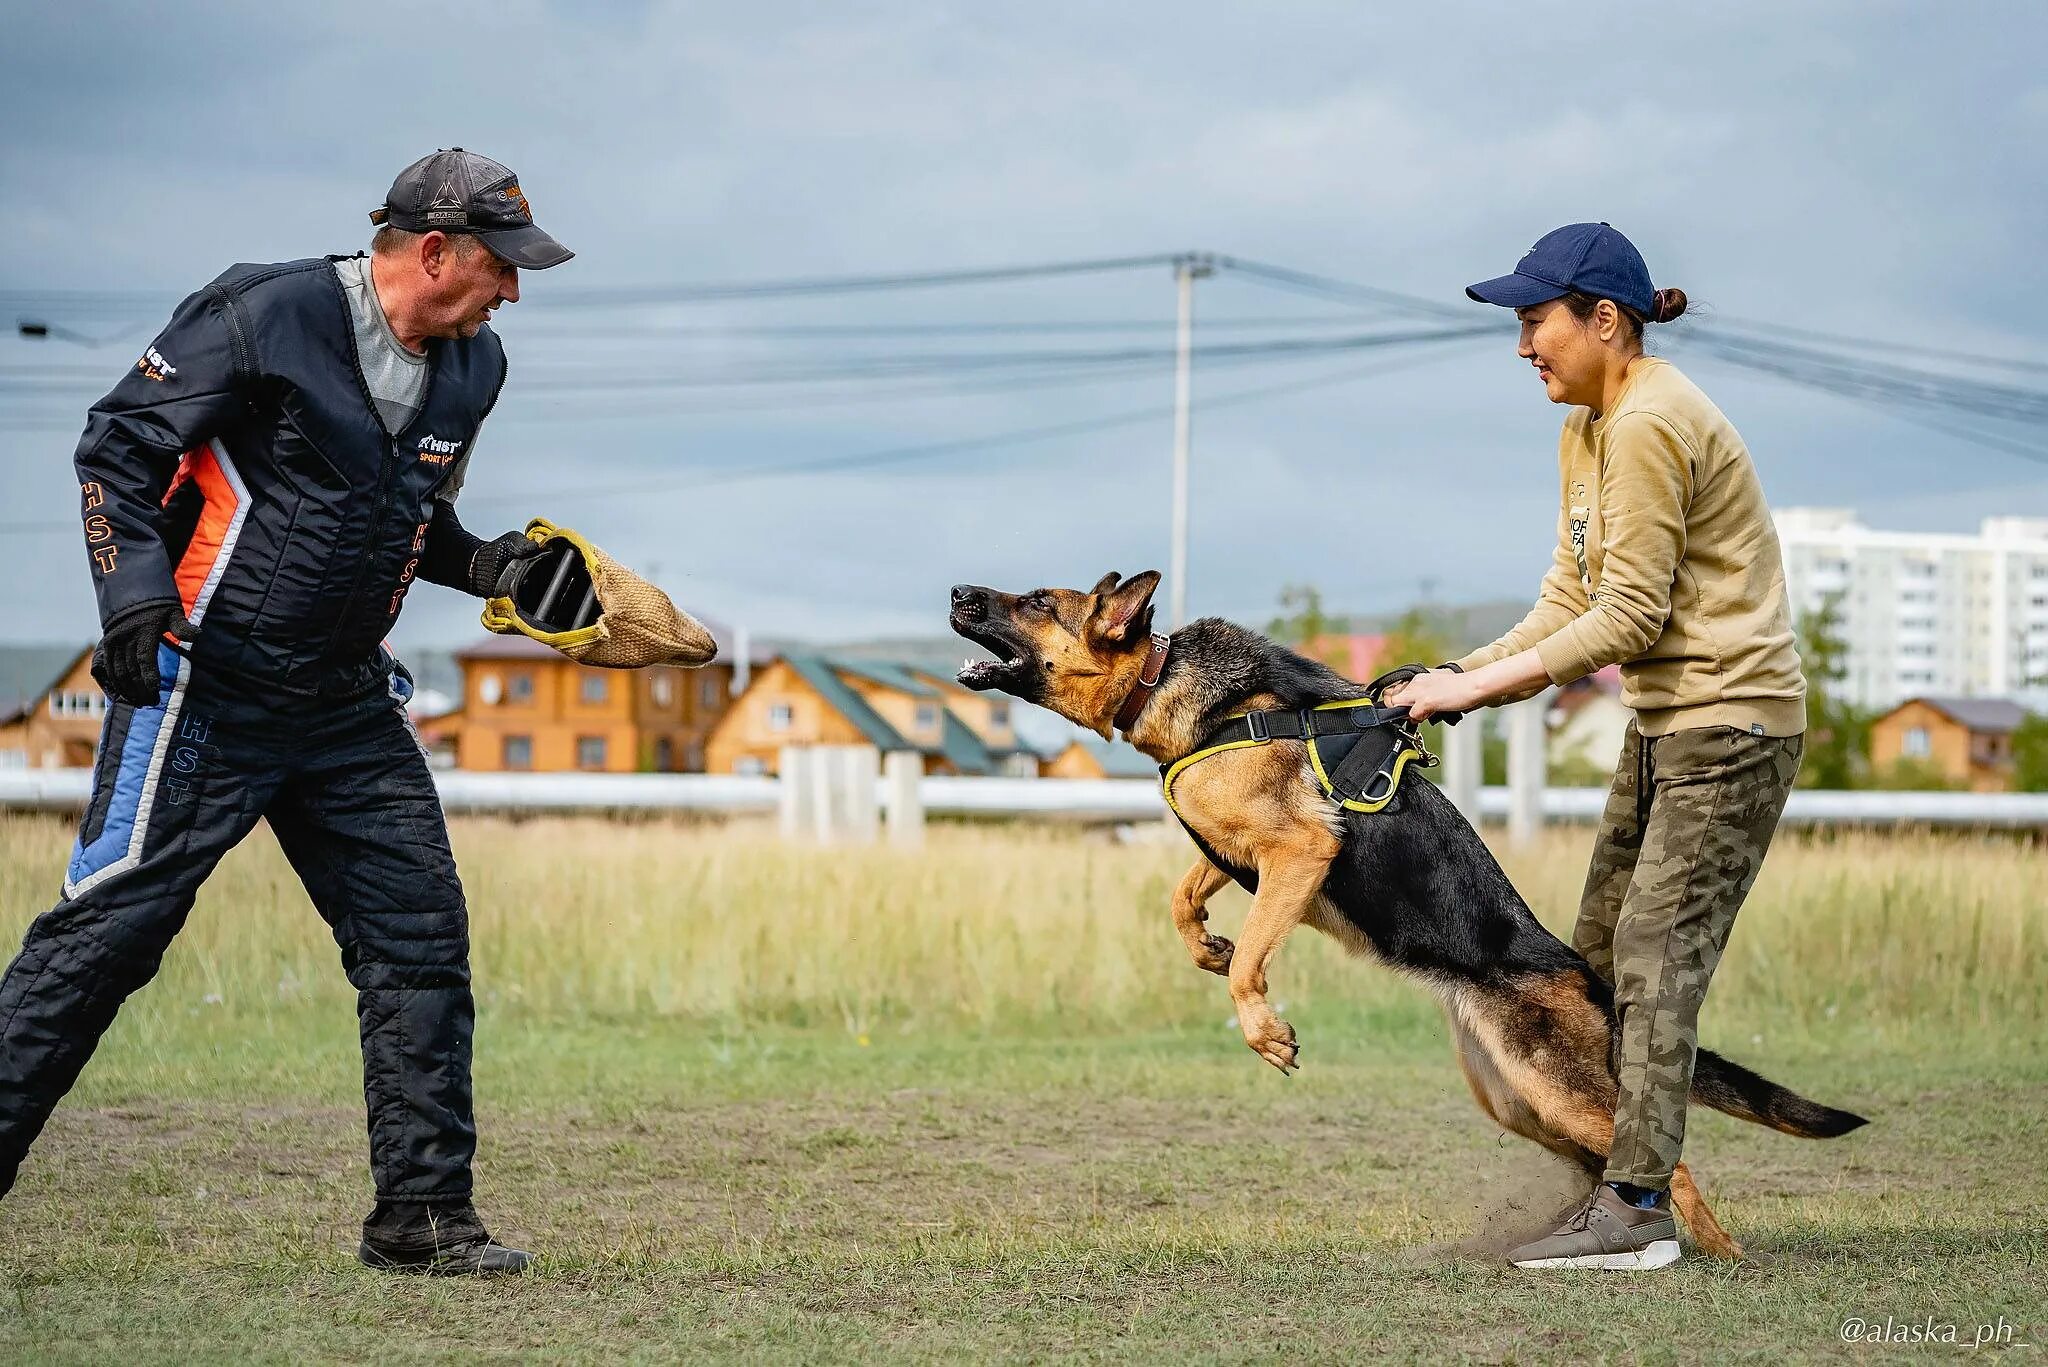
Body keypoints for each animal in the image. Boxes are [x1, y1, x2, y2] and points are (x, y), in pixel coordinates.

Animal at [950, 569, 1867, 1262]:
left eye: (1036, 600)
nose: (959, 591)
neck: (1168, 681)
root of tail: (1587, 977)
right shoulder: (1245, 856)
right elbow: (1183, 900)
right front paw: (1204, 945)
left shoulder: (1300, 851)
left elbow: (1250, 962)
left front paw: (1263, 1027)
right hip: (1518, 1100)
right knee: (1612, 1156)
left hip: (1553, 1089)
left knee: (1668, 1164)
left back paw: (1713, 1249)